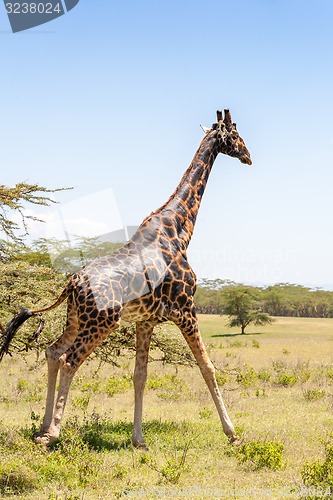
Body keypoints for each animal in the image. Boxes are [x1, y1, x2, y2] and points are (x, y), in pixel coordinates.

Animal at [0, 107, 249, 448]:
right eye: (236, 134)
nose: (248, 156)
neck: (180, 228)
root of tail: (73, 282)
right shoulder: (186, 309)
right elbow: (207, 367)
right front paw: (232, 432)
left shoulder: (146, 320)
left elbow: (140, 375)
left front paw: (138, 439)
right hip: (102, 322)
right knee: (69, 361)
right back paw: (52, 433)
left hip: (76, 318)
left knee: (52, 352)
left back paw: (41, 428)